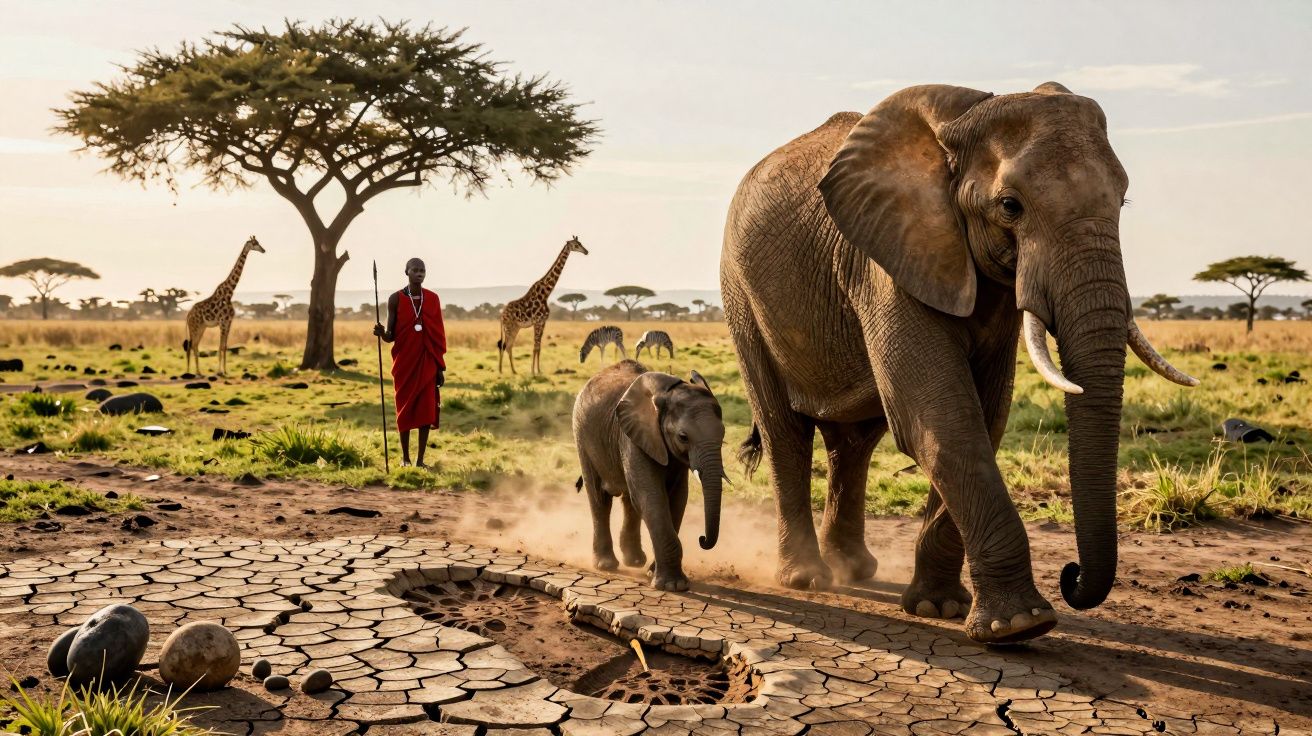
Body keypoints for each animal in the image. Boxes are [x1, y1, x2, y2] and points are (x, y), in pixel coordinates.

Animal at [183, 235, 265, 376]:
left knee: (195, 345)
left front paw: (225, 371)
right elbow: (220, 346)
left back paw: (198, 372)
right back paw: (190, 372)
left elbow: (225, 347)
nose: (264, 250)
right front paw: (219, 371)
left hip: (201, 327)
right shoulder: (222, 322)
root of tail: (188, 314)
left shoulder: (229, 322)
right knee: (191, 345)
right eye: (255, 243)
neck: (230, 292)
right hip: (195, 326)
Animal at [498, 236, 589, 374]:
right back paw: (503, 371)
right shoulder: (537, 321)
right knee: (505, 345)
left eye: (580, 243)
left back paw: (511, 371)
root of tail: (501, 315)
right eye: (576, 245)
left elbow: (539, 347)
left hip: (515, 327)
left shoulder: (543, 322)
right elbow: (535, 346)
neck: (546, 293)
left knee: (508, 346)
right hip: (509, 327)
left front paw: (538, 370)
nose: (586, 251)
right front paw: (533, 371)